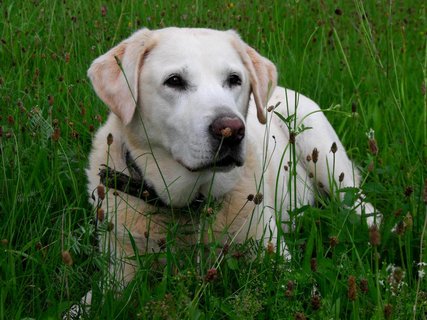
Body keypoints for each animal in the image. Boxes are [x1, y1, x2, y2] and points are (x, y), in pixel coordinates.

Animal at [71, 26, 382, 316]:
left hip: (324, 154)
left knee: (366, 208)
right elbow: (83, 306)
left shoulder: (273, 255)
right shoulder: (117, 273)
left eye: (234, 79)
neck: (190, 207)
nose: (231, 131)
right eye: (174, 81)